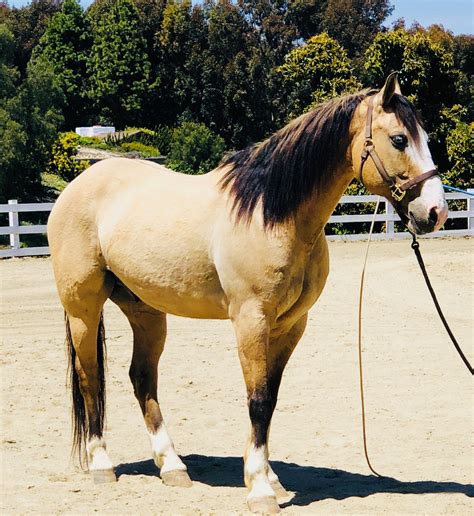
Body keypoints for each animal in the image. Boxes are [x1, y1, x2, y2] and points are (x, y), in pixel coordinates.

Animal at [48, 74, 448, 512]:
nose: (436, 213)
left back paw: (172, 466)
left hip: (146, 311)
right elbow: (257, 400)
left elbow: (270, 398)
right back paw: (102, 464)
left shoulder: (290, 325)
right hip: (83, 308)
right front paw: (259, 488)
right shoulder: (250, 321)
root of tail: (75, 188)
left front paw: (270, 478)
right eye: (399, 139)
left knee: (142, 378)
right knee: (90, 378)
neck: (271, 213)